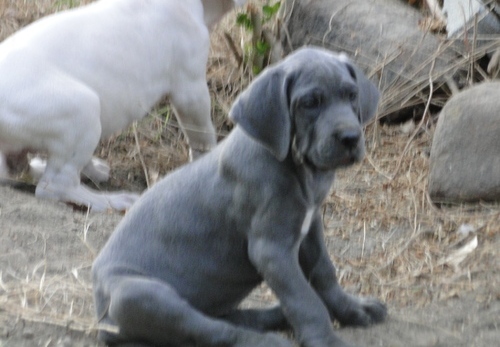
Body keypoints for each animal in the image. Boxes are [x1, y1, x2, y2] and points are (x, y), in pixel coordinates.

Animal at [92, 47, 386, 347]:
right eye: (310, 103)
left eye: (351, 95)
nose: (350, 137)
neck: (295, 166)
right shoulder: (271, 250)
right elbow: (304, 299)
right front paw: (326, 340)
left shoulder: (311, 228)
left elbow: (324, 273)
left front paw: (352, 309)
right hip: (137, 295)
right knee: (212, 330)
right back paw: (269, 340)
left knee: (227, 319)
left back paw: (277, 317)